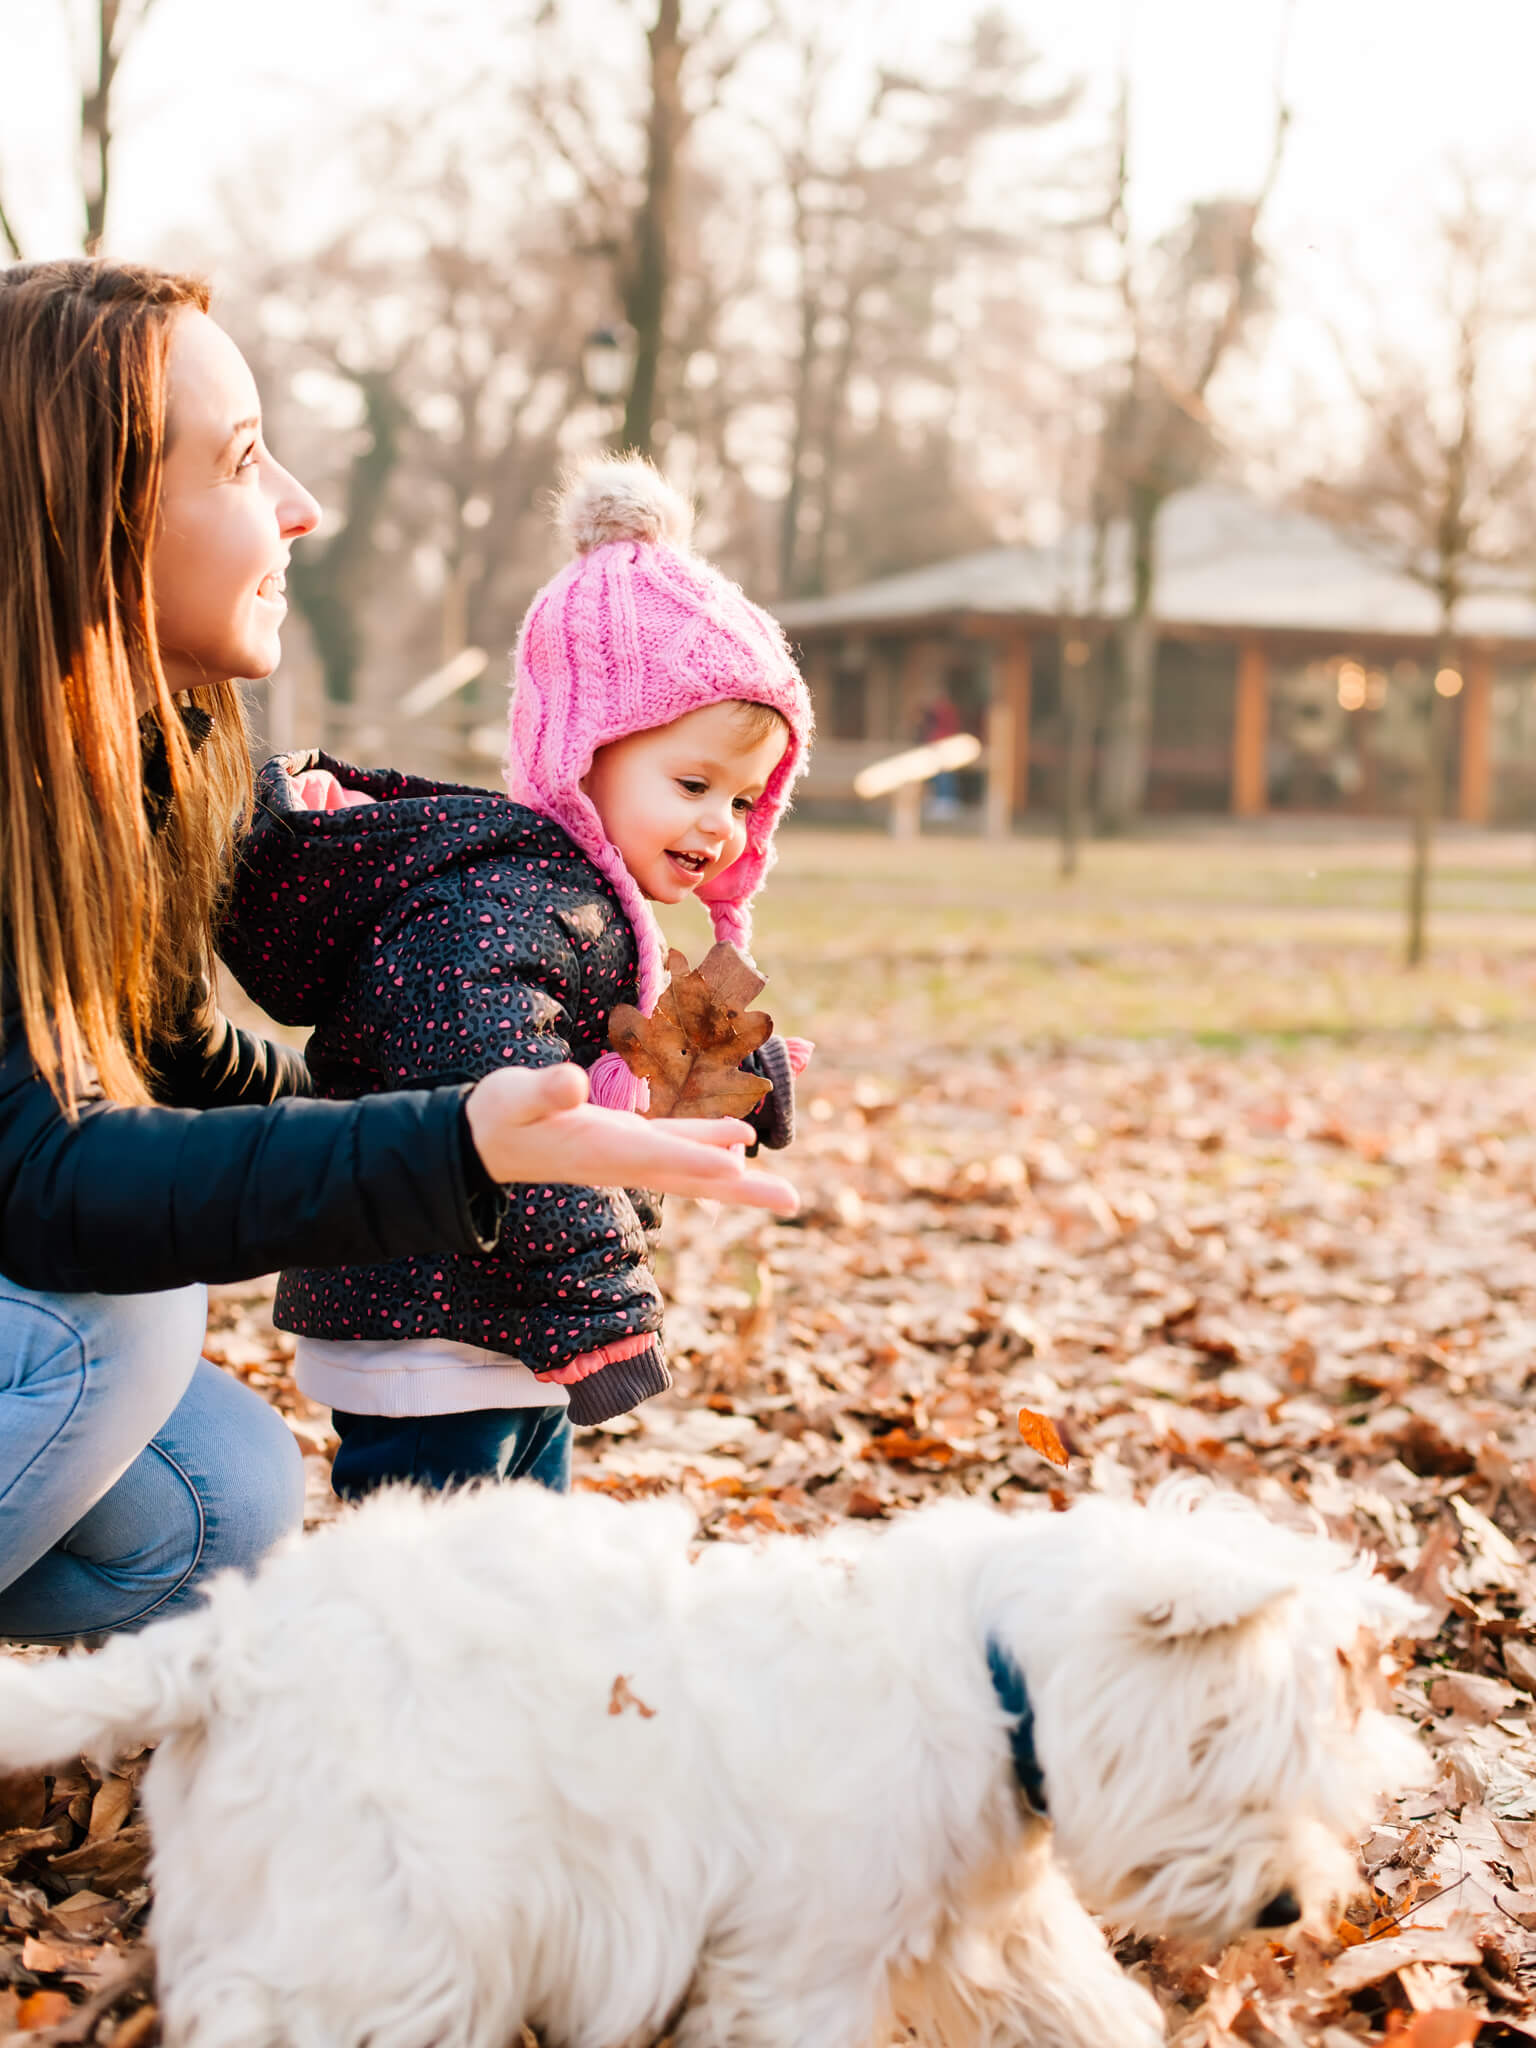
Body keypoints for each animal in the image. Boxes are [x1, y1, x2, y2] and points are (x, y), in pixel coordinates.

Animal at [0, 1482, 1425, 2039]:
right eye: (1236, 1753)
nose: (1290, 1909)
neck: (991, 1675)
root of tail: (225, 1643)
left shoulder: (999, 1928)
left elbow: (1085, 2007)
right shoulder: (804, 1957)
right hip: (395, 1925)